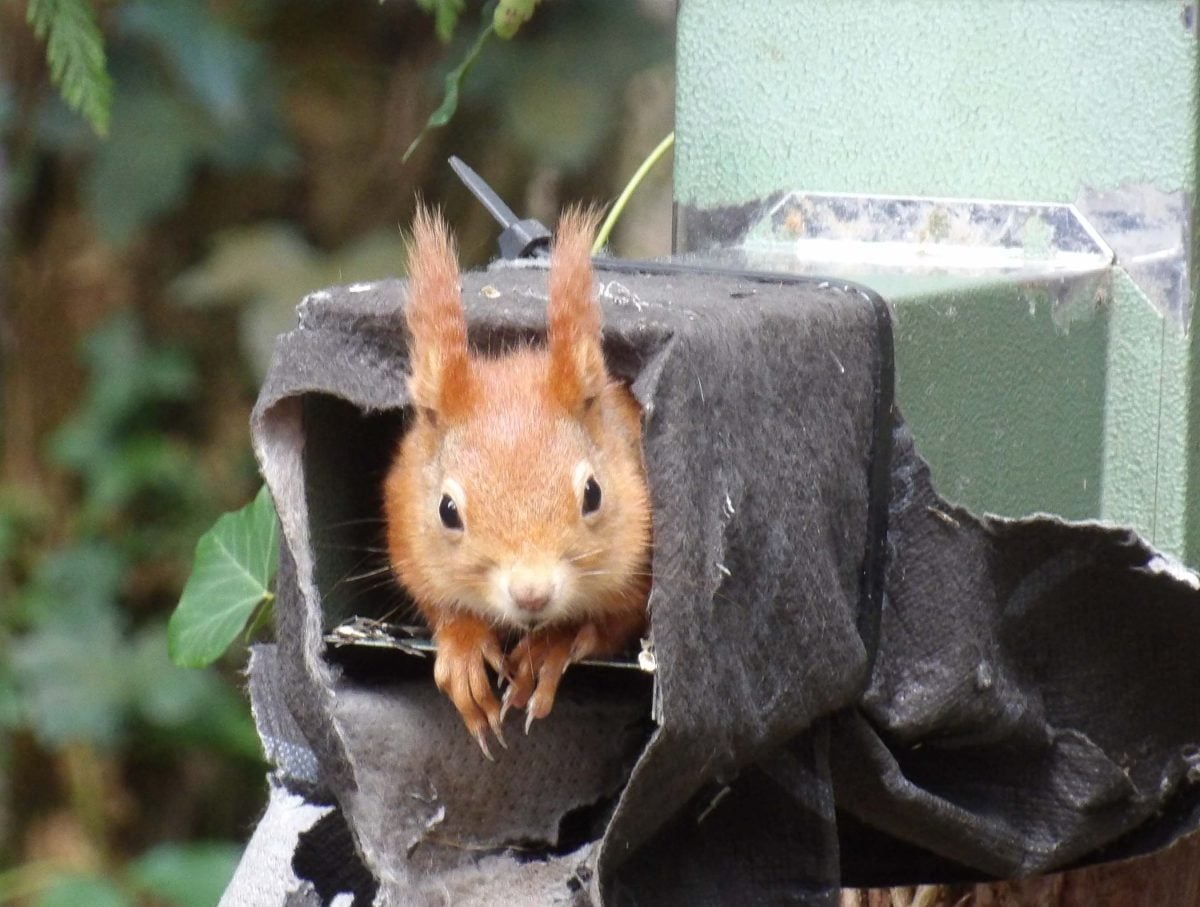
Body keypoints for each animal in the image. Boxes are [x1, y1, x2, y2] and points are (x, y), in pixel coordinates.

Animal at [383, 206, 652, 758]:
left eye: (593, 494)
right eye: (446, 510)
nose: (532, 594)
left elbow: (615, 621)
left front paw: (551, 646)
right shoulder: (408, 541)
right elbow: (440, 604)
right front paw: (464, 648)